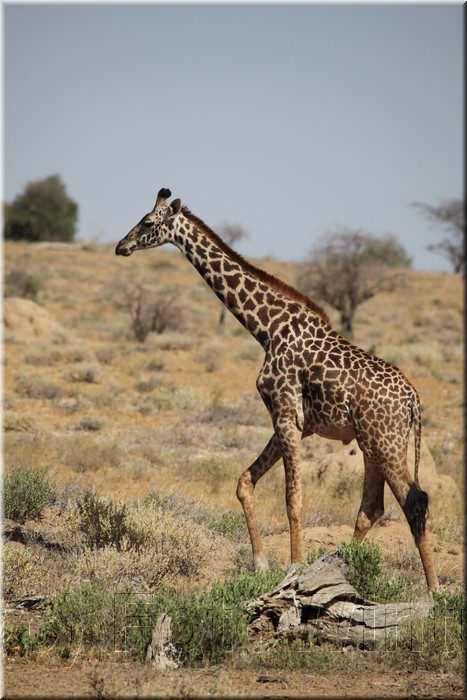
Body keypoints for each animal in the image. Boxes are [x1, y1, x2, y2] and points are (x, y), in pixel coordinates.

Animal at [115, 186, 440, 592]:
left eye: (147, 222)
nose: (121, 246)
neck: (267, 329)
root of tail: (414, 400)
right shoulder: (291, 421)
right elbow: (244, 483)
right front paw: (260, 563)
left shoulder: (286, 415)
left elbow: (293, 499)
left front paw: (294, 568)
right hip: (371, 444)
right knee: (372, 507)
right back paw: (344, 568)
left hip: (386, 442)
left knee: (415, 501)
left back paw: (433, 592)